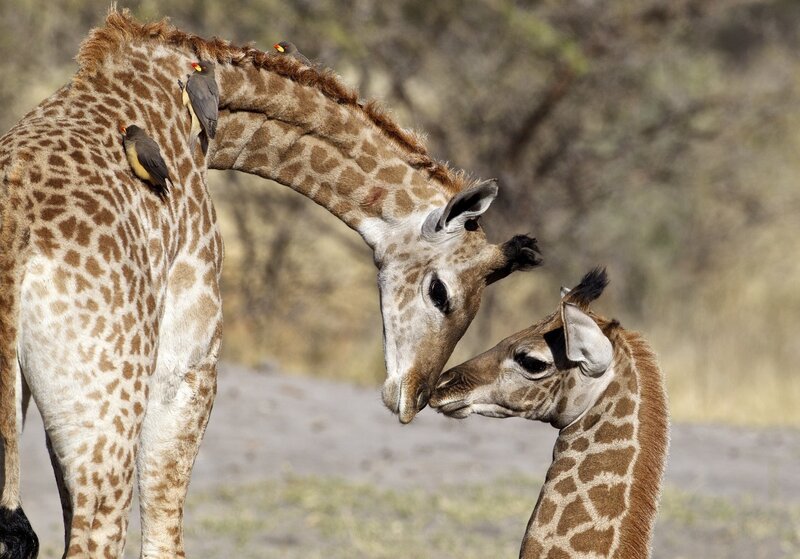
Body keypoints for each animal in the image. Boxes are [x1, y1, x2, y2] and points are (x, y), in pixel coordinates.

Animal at [0, 9, 541, 558]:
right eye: (440, 292)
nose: (413, 398)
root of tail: (15, 241)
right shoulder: (189, 363)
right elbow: (164, 532)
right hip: (108, 414)